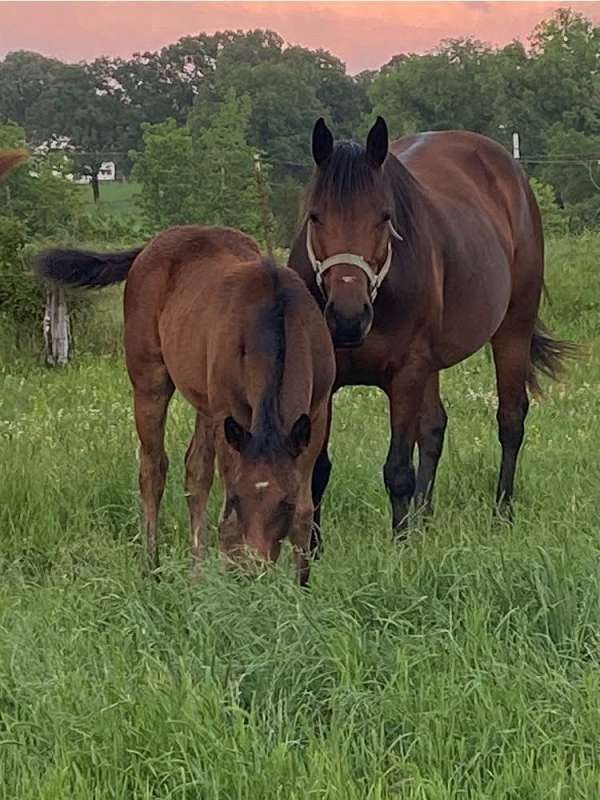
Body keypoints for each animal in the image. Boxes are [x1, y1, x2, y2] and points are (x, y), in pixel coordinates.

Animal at [35, 226, 335, 584]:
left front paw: (301, 587)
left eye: (285, 503)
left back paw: (197, 573)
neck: (276, 316)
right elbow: (226, 514)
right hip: (150, 381)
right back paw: (152, 568)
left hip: (205, 402)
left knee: (196, 472)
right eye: (238, 498)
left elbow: (305, 511)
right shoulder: (229, 414)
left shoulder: (315, 414)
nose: (254, 569)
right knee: (153, 468)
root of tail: (151, 245)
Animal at [288, 117, 574, 542]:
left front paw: (401, 544)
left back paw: (502, 513)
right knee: (434, 428)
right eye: (315, 216)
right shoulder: (327, 381)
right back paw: (425, 518)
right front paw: (314, 549)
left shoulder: (407, 373)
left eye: (384, 216)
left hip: (513, 328)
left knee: (510, 420)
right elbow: (317, 470)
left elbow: (397, 470)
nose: (347, 317)